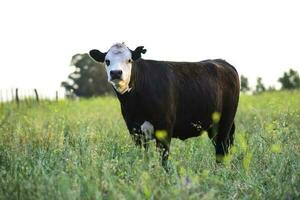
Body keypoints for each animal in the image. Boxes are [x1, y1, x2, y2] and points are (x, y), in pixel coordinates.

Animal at [90, 42, 240, 167]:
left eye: (129, 60)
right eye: (107, 61)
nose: (116, 73)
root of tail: (222, 62)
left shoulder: (165, 128)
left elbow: (163, 158)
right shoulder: (134, 130)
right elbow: (142, 156)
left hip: (225, 123)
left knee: (221, 149)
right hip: (215, 127)